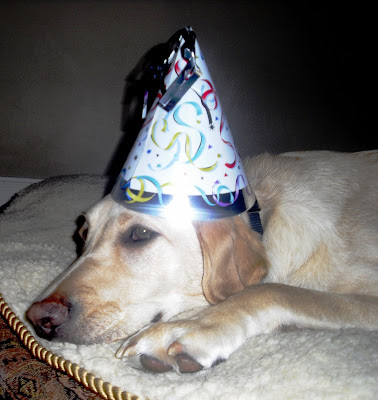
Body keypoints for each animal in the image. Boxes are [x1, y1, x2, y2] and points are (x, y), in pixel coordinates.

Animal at [27, 150, 378, 372]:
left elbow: (272, 290)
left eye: (140, 233)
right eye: (84, 232)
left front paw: (188, 328)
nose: (39, 317)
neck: (265, 216)